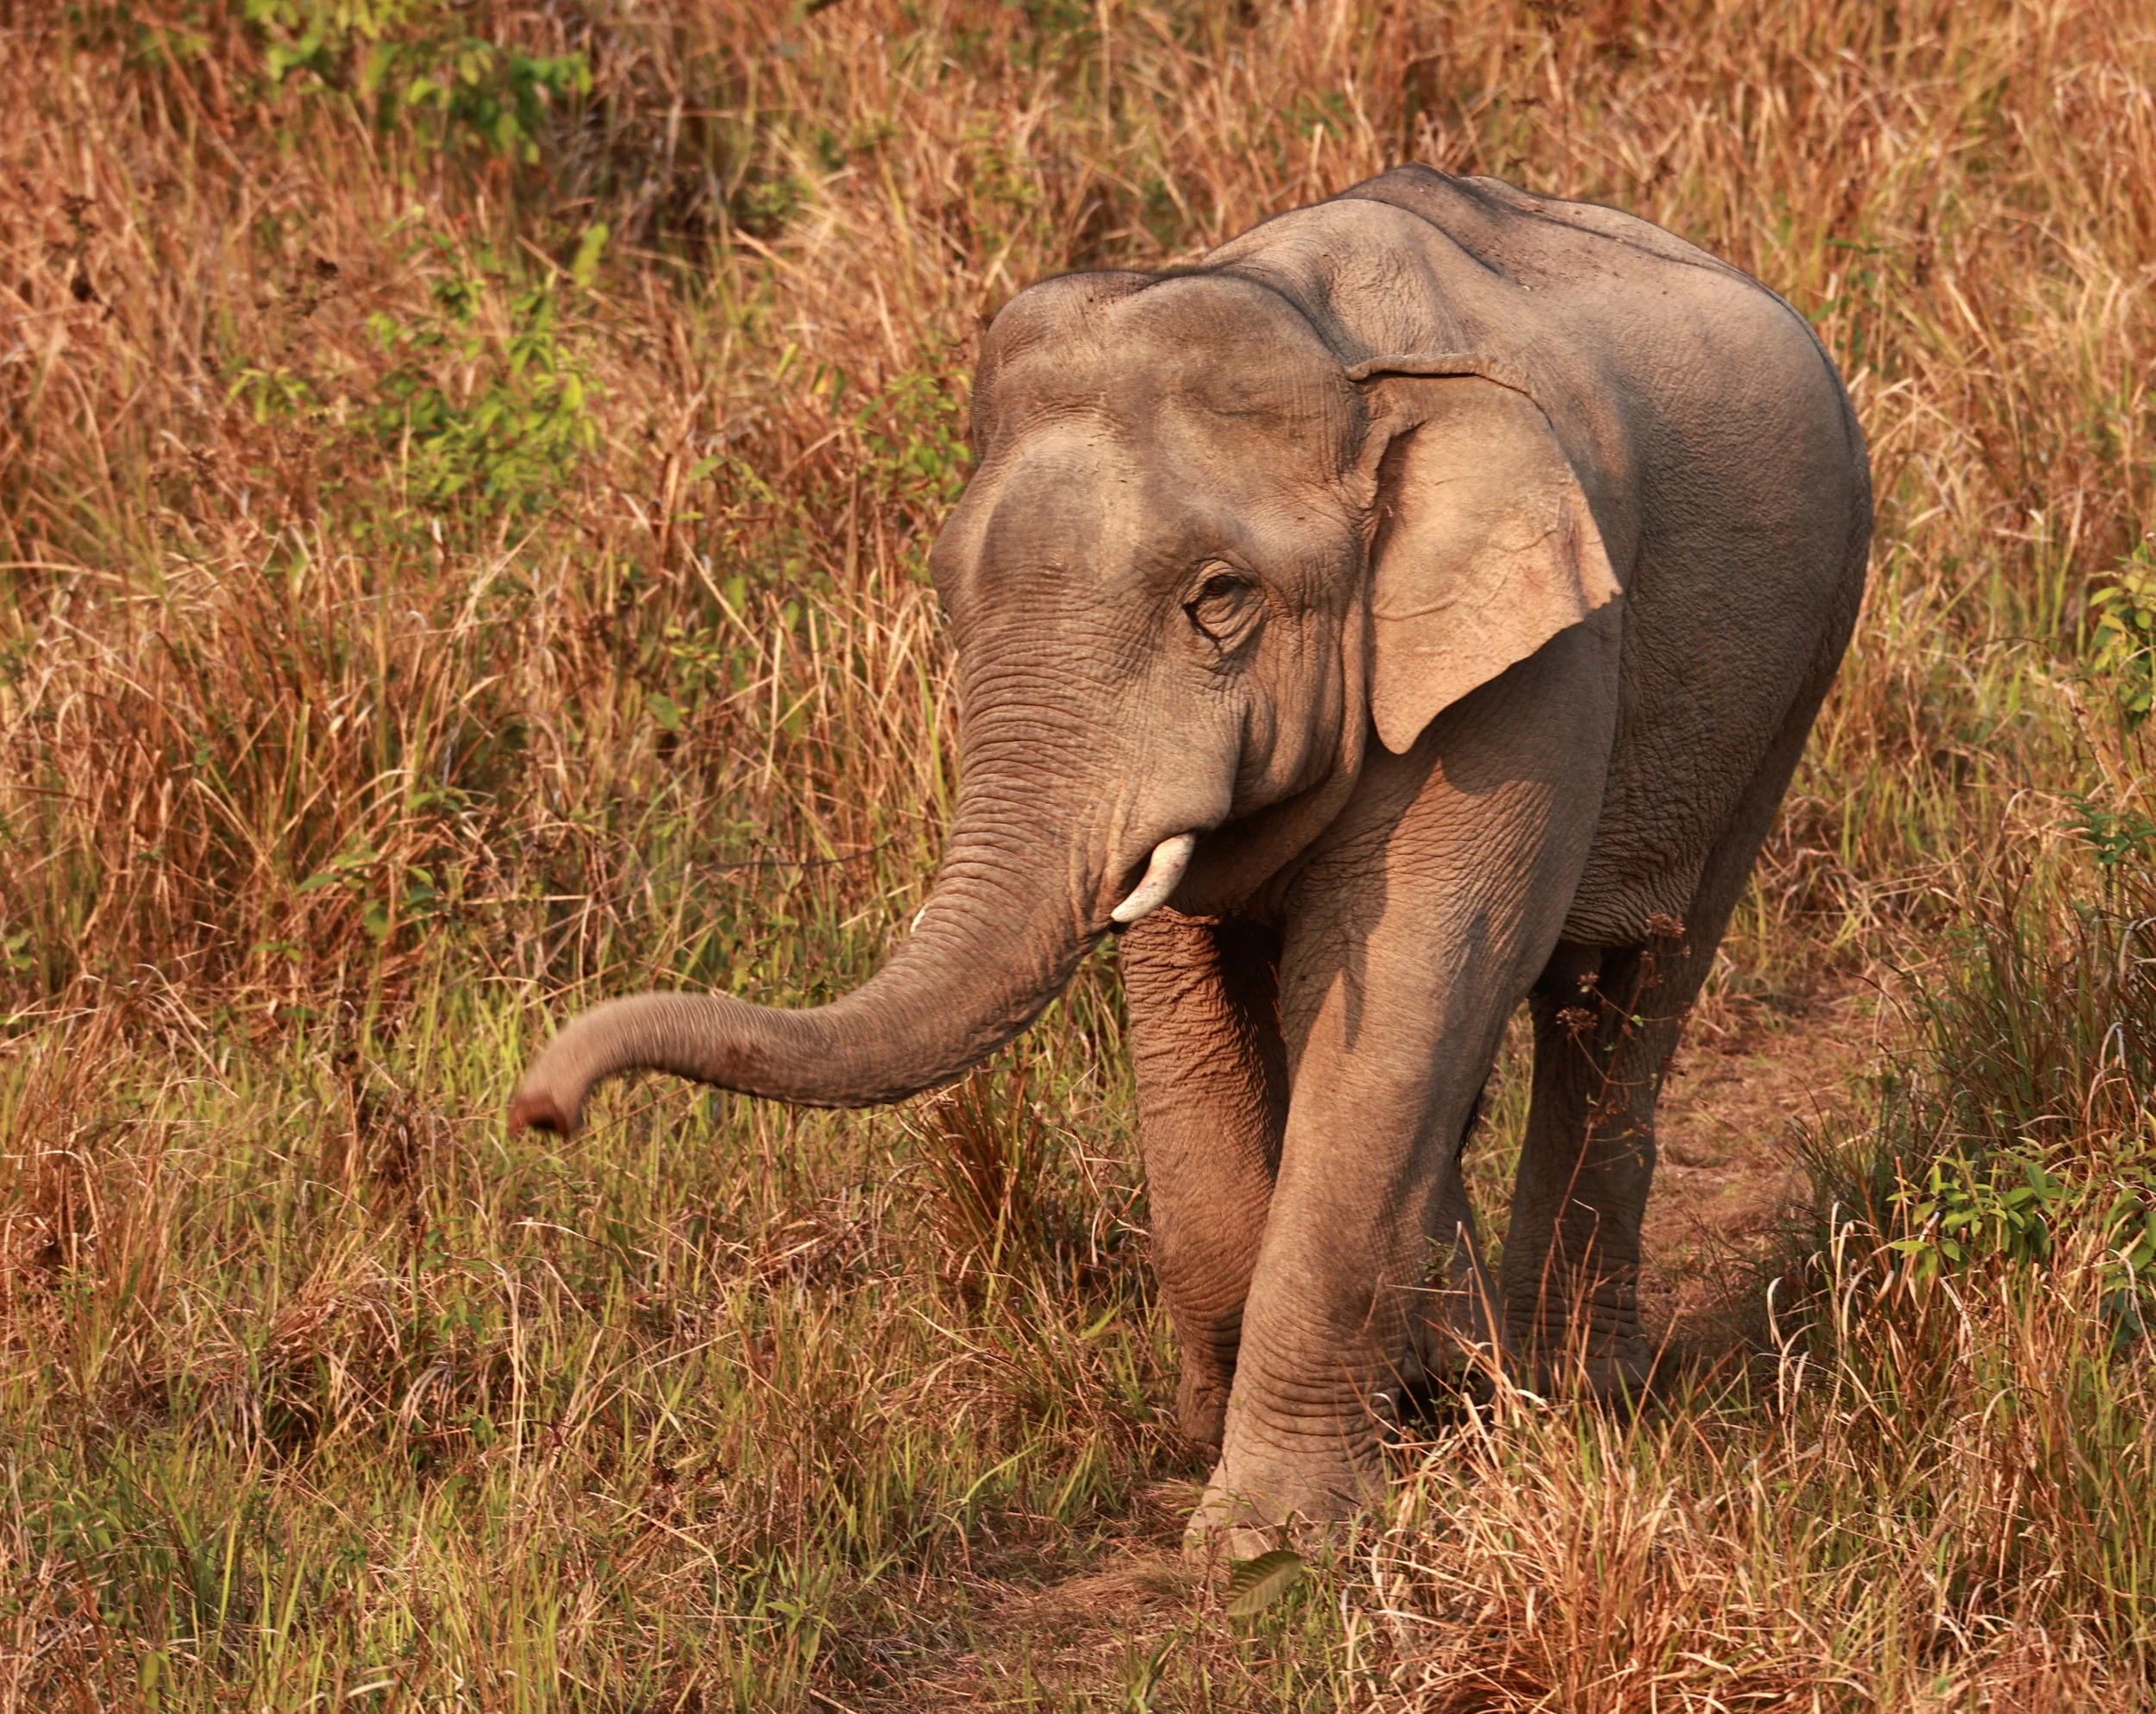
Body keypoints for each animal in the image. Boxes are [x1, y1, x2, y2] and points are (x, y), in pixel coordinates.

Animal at [509, 165, 1870, 1552]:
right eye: (949, 597)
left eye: (1220, 598)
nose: (541, 1109)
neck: (1332, 356)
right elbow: (1198, 1006)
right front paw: (1217, 1446)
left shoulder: (1537, 659)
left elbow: (1405, 985)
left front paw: (1266, 1539)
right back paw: (1460, 1379)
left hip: (1802, 659)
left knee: (1628, 994)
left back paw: (1572, 1394)